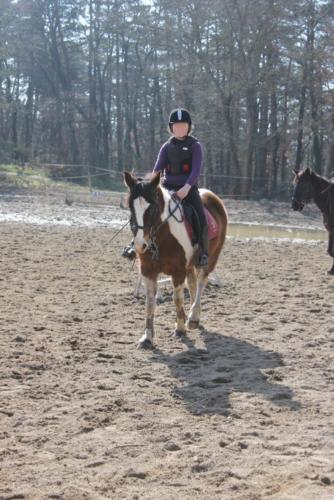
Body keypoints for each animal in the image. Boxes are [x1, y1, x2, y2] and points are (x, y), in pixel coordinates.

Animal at [124, 172, 228, 348]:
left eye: (152, 208)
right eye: (131, 207)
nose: (139, 245)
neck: (162, 235)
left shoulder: (178, 270)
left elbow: (177, 298)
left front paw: (179, 328)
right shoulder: (147, 270)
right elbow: (150, 302)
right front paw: (147, 337)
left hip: (210, 258)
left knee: (201, 282)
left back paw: (193, 317)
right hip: (191, 264)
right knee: (193, 283)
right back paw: (193, 317)